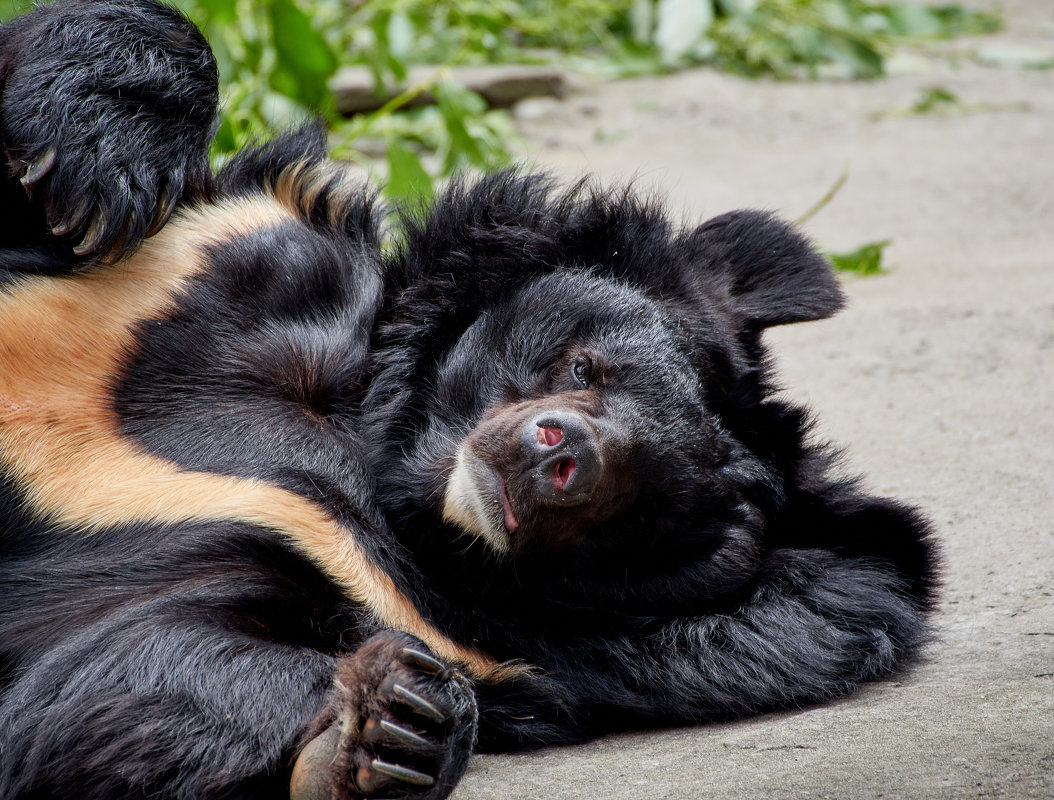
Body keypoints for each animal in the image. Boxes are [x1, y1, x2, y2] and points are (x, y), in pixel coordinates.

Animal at [0, 1, 940, 800]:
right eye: (584, 366)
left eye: (653, 511)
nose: (562, 453)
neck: (375, 456)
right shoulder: (216, 264)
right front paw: (95, 159)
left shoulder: (396, 601)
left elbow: (130, 672)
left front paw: (388, 729)